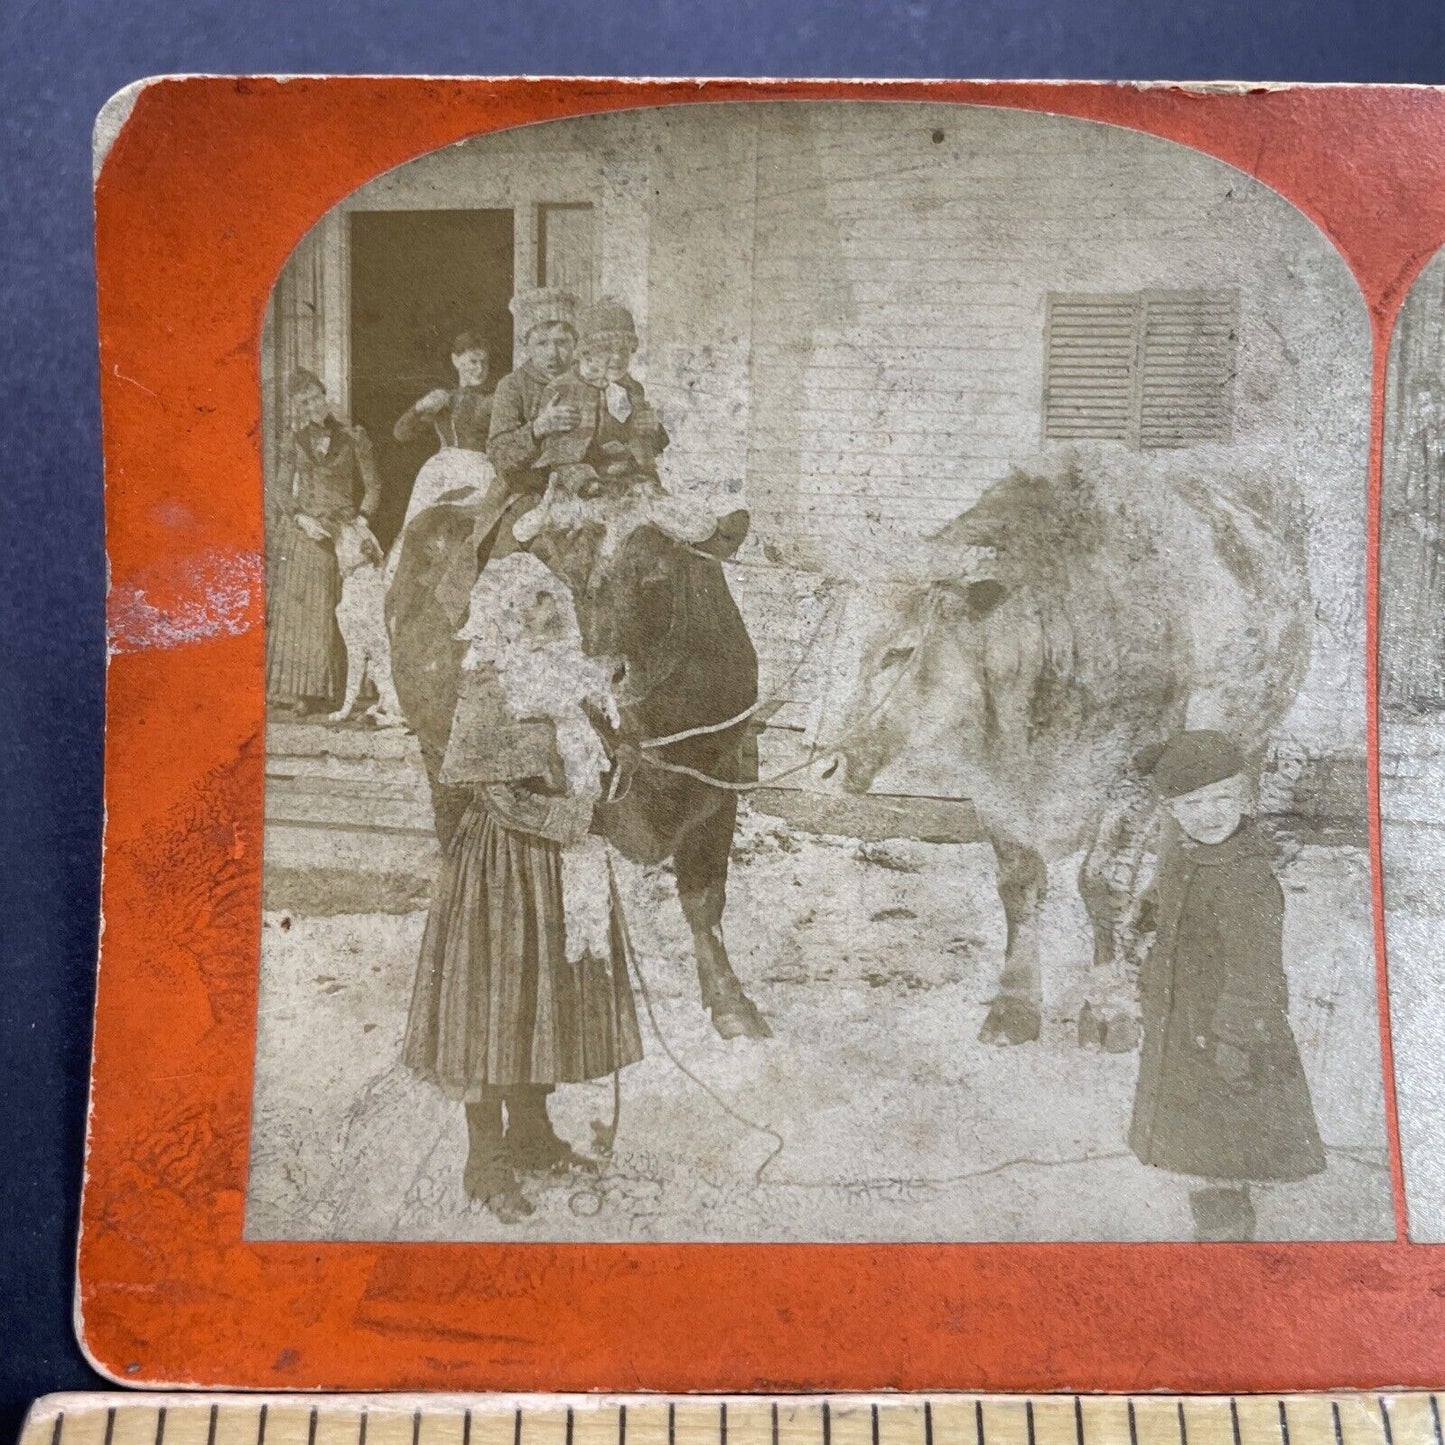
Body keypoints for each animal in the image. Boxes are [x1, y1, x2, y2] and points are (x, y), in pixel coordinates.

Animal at [330, 517, 410, 728]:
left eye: (349, 527)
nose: (337, 516)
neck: (359, 573)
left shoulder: (354, 648)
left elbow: (350, 686)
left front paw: (342, 714)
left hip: (382, 673)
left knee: (400, 719)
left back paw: (376, 717)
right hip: (376, 669)